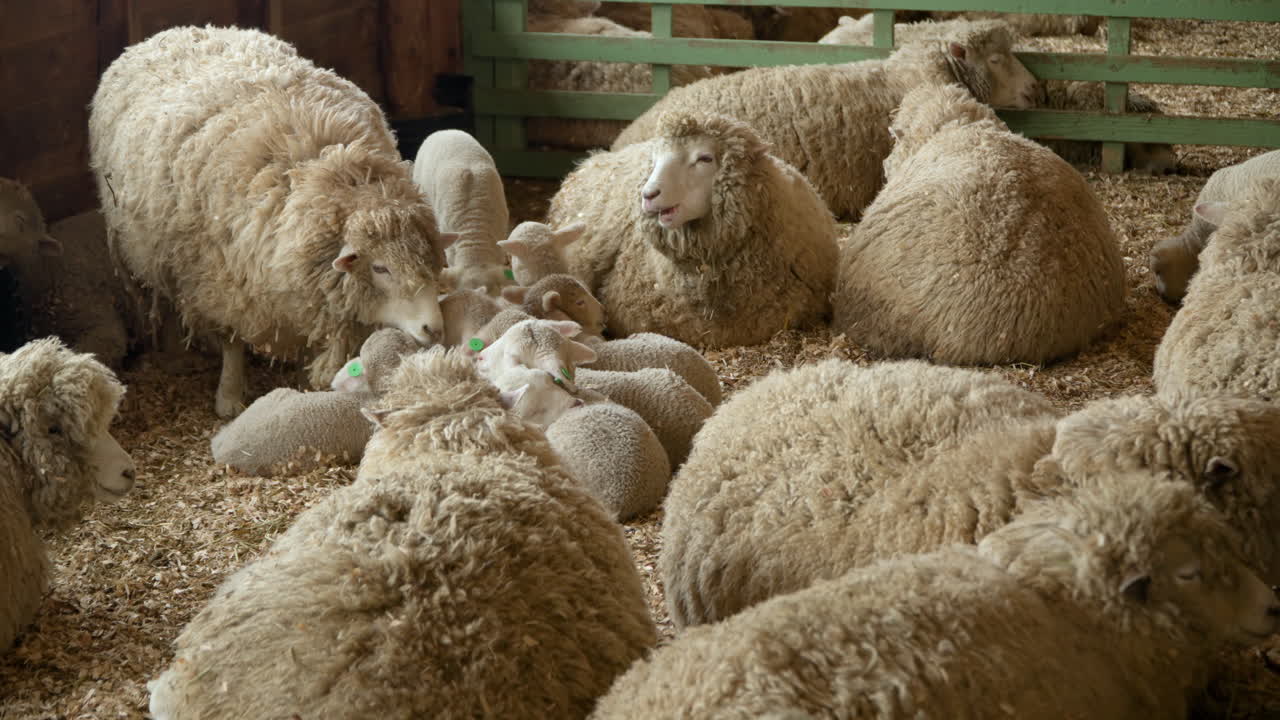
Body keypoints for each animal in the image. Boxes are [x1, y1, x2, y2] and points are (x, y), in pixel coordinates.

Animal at [89, 26, 453, 418]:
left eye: (433, 264)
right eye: (381, 268)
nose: (434, 328)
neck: (328, 174)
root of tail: (173, 31)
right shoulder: (222, 283)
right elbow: (232, 342)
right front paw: (229, 396)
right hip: (145, 251)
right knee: (161, 298)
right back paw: (176, 353)